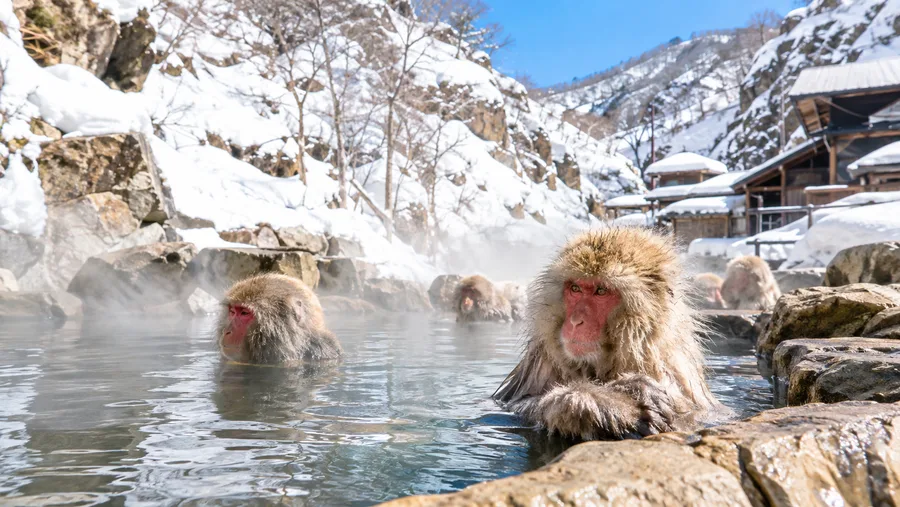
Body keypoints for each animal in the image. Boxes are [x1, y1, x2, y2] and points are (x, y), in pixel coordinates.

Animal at [493, 227, 722, 441]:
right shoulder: (540, 361)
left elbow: (688, 419)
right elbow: (513, 404)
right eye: (575, 288)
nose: (575, 321)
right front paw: (607, 399)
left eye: (601, 291)